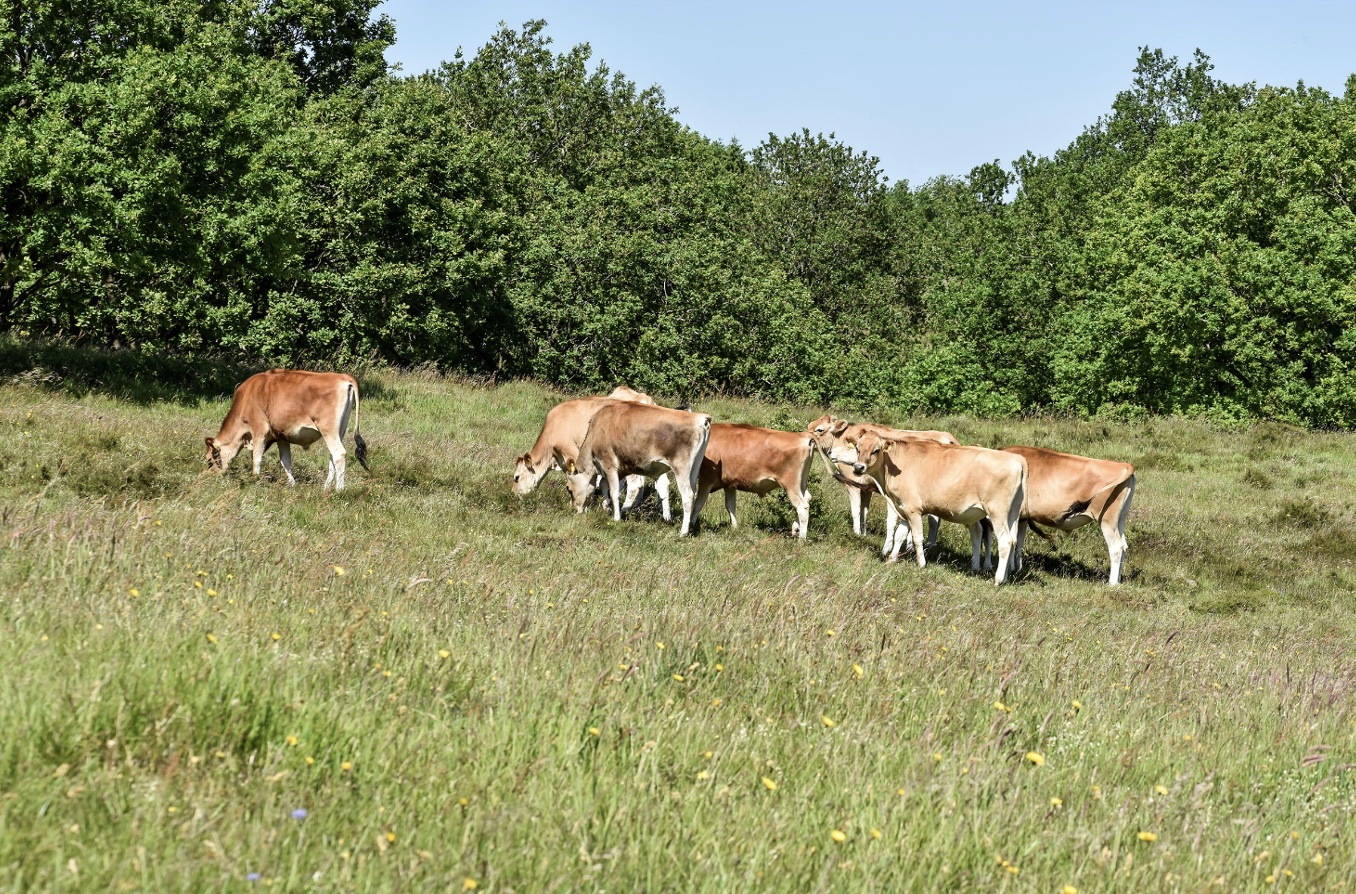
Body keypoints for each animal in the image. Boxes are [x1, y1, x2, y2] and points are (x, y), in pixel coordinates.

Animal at [202, 371, 368, 496]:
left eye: (209, 460)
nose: (211, 477)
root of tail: (343, 377)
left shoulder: (260, 431)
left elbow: (257, 458)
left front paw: (255, 480)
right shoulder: (281, 437)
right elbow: (285, 461)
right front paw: (292, 484)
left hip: (329, 429)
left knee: (339, 454)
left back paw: (339, 490)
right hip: (340, 430)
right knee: (332, 457)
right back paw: (325, 488)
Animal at [512, 387, 672, 520]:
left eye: (516, 477)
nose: (513, 495)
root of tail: (646, 399)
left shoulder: (572, 452)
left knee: (635, 485)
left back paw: (624, 510)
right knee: (662, 482)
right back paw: (663, 515)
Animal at [561, 401, 715, 534]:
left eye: (569, 489)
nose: (575, 509)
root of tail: (700, 418)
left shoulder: (609, 463)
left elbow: (614, 492)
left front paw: (616, 518)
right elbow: (604, 485)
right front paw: (606, 507)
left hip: (681, 468)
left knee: (687, 496)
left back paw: (683, 532)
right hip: (694, 469)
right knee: (695, 495)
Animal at [824, 428, 1025, 583]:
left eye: (876, 450)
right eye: (858, 448)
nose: (858, 468)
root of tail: (1016, 460)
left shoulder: (913, 510)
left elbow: (916, 537)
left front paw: (921, 563)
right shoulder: (903, 508)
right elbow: (899, 535)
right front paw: (891, 559)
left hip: (997, 512)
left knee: (1005, 541)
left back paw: (997, 579)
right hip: (1011, 514)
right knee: (1007, 539)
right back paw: (1001, 575)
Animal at [981, 447, 1139, 588]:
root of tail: (1123, 465)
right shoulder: (1022, 517)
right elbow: (1018, 543)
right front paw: (1016, 569)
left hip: (1107, 520)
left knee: (1116, 547)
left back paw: (1112, 583)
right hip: (1120, 519)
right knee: (1124, 545)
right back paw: (1118, 580)